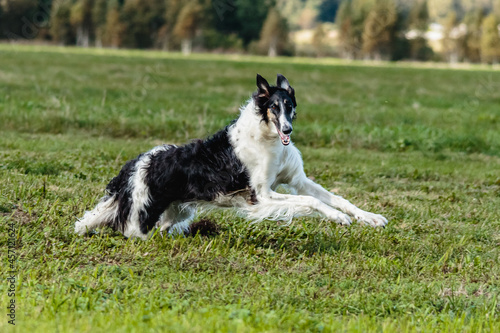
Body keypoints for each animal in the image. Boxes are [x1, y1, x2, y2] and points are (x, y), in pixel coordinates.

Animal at [75, 74, 386, 239]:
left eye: (289, 105)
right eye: (273, 107)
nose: (288, 130)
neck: (267, 138)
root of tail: (133, 166)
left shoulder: (298, 180)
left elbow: (338, 199)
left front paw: (370, 218)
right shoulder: (262, 195)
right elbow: (311, 203)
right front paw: (338, 218)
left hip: (176, 211)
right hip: (141, 219)